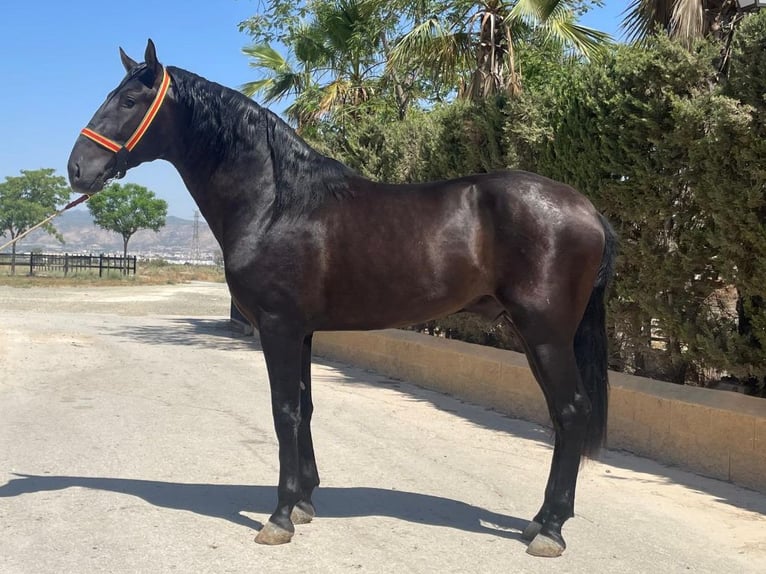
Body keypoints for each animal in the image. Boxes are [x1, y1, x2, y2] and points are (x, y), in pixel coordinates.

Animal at [67, 40, 616, 558]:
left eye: (130, 100)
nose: (76, 169)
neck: (277, 204)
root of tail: (588, 209)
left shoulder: (279, 327)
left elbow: (284, 410)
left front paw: (280, 516)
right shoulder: (303, 330)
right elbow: (306, 407)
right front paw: (305, 501)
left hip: (545, 334)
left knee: (571, 412)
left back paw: (550, 530)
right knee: (563, 415)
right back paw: (540, 521)